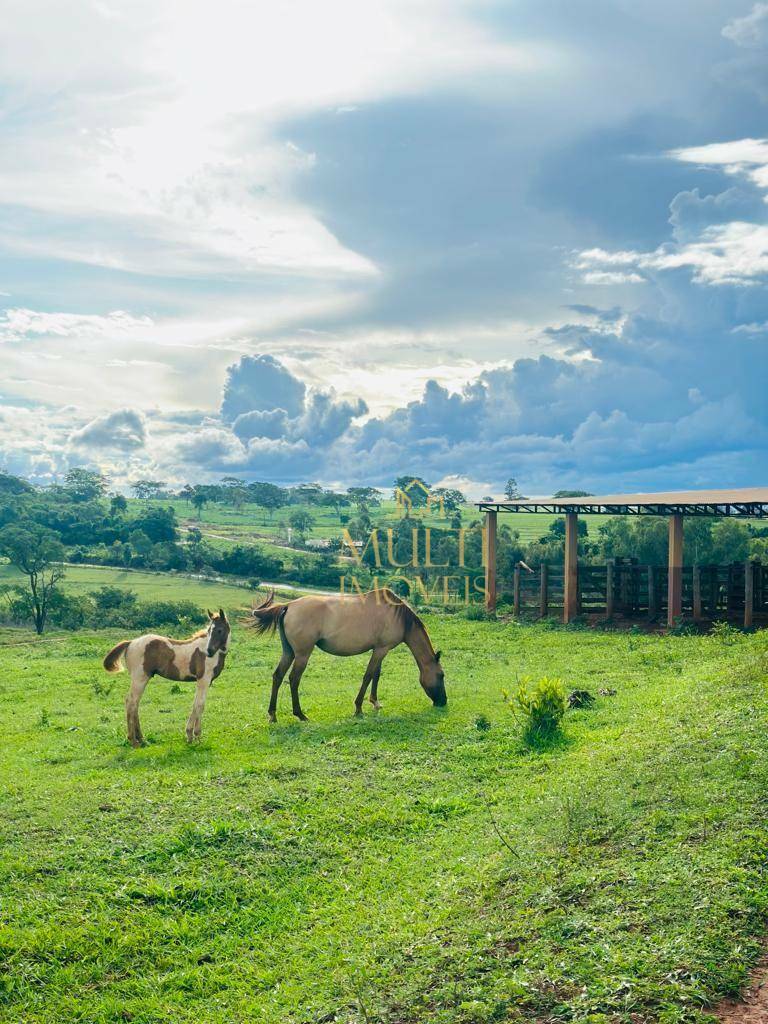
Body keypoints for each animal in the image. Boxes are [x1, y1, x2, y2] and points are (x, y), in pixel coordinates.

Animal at [103, 606, 233, 745]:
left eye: (219, 630)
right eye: (209, 630)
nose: (209, 651)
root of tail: (131, 642)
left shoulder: (203, 681)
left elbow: (195, 704)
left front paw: (190, 736)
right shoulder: (204, 679)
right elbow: (200, 705)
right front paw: (195, 736)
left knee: (135, 704)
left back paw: (142, 739)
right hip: (139, 678)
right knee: (131, 702)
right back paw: (133, 741)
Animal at [249, 589, 448, 724]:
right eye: (441, 675)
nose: (443, 702)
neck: (398, 616)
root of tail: (288, 606)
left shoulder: (379, 649)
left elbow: (376, 675)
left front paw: (375, 703)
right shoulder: (381, 649)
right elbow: (368, 675)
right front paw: (359, 708)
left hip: (289, 652)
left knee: (278, 676)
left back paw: (273, 715)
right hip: (302, 654)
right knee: (293, 679)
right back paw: (300, 714)